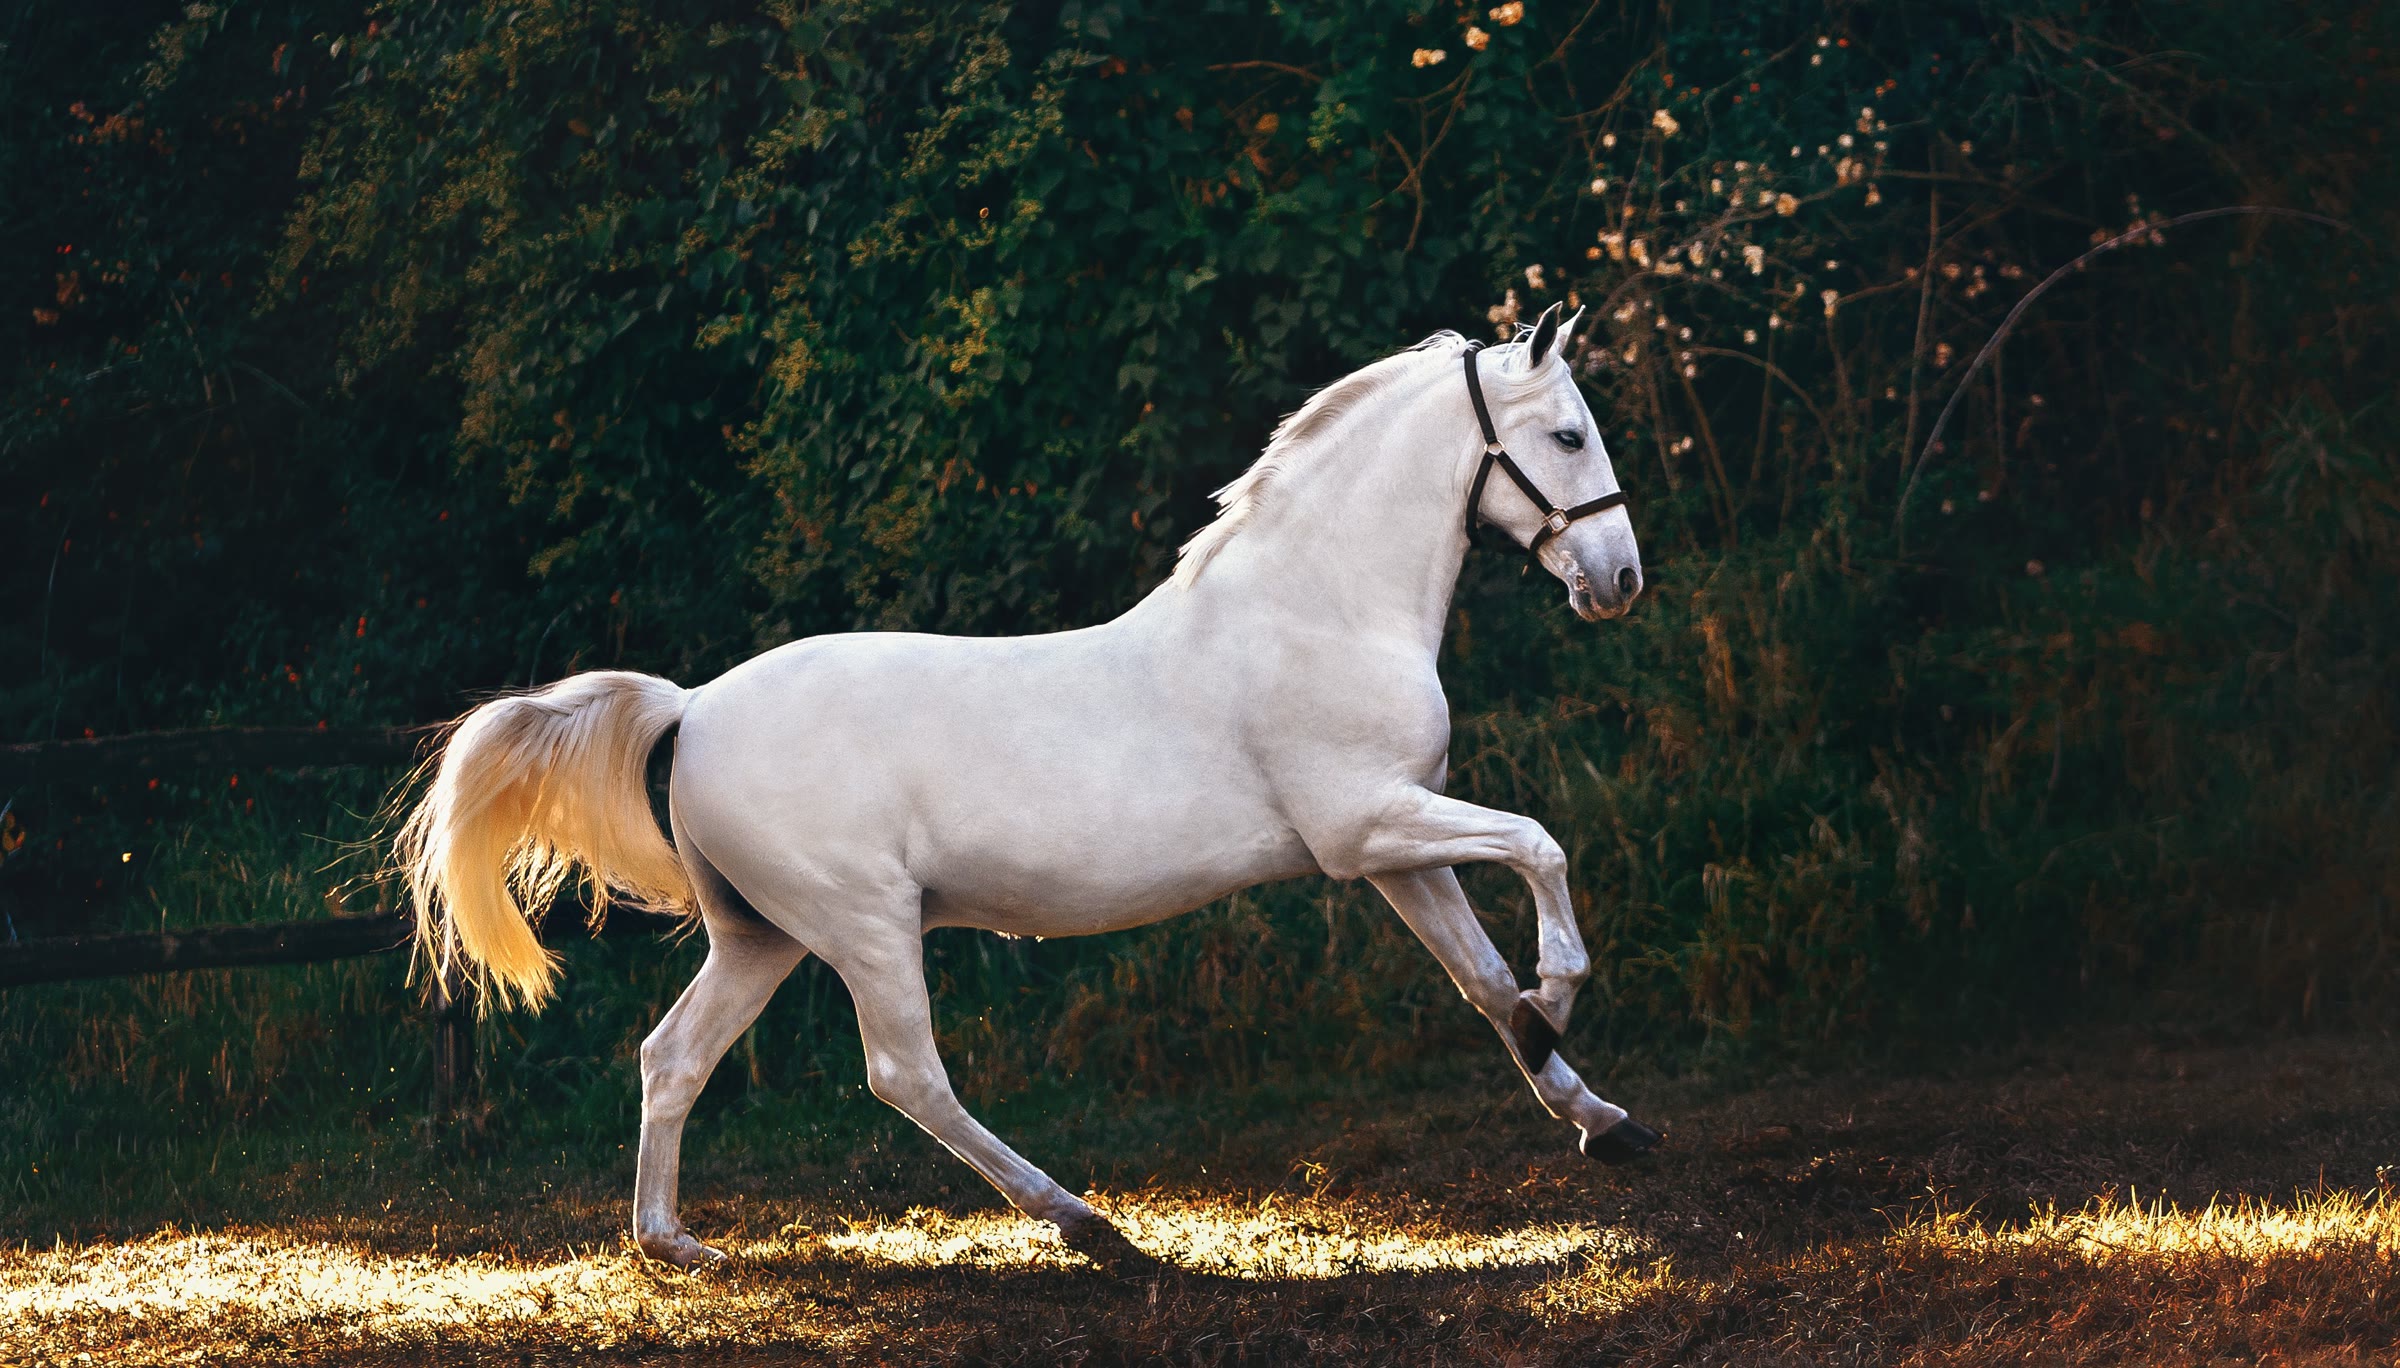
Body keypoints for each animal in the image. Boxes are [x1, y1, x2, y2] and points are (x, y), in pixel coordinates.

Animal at [396, 302, 1657, 1271]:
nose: (1620, 580)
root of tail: (694, 708)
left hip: (761, 936)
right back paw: (1085, 1223)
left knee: (674, 1057)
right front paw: (1562, 996)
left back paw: (673, 1243)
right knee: (906, 1074)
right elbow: (1540, 849)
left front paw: (1598, 1117)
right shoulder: (1367, 829)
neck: (1320, 609)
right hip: (863, 924)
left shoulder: (1399, 849)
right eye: (1567, 434)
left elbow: (1483, 982)